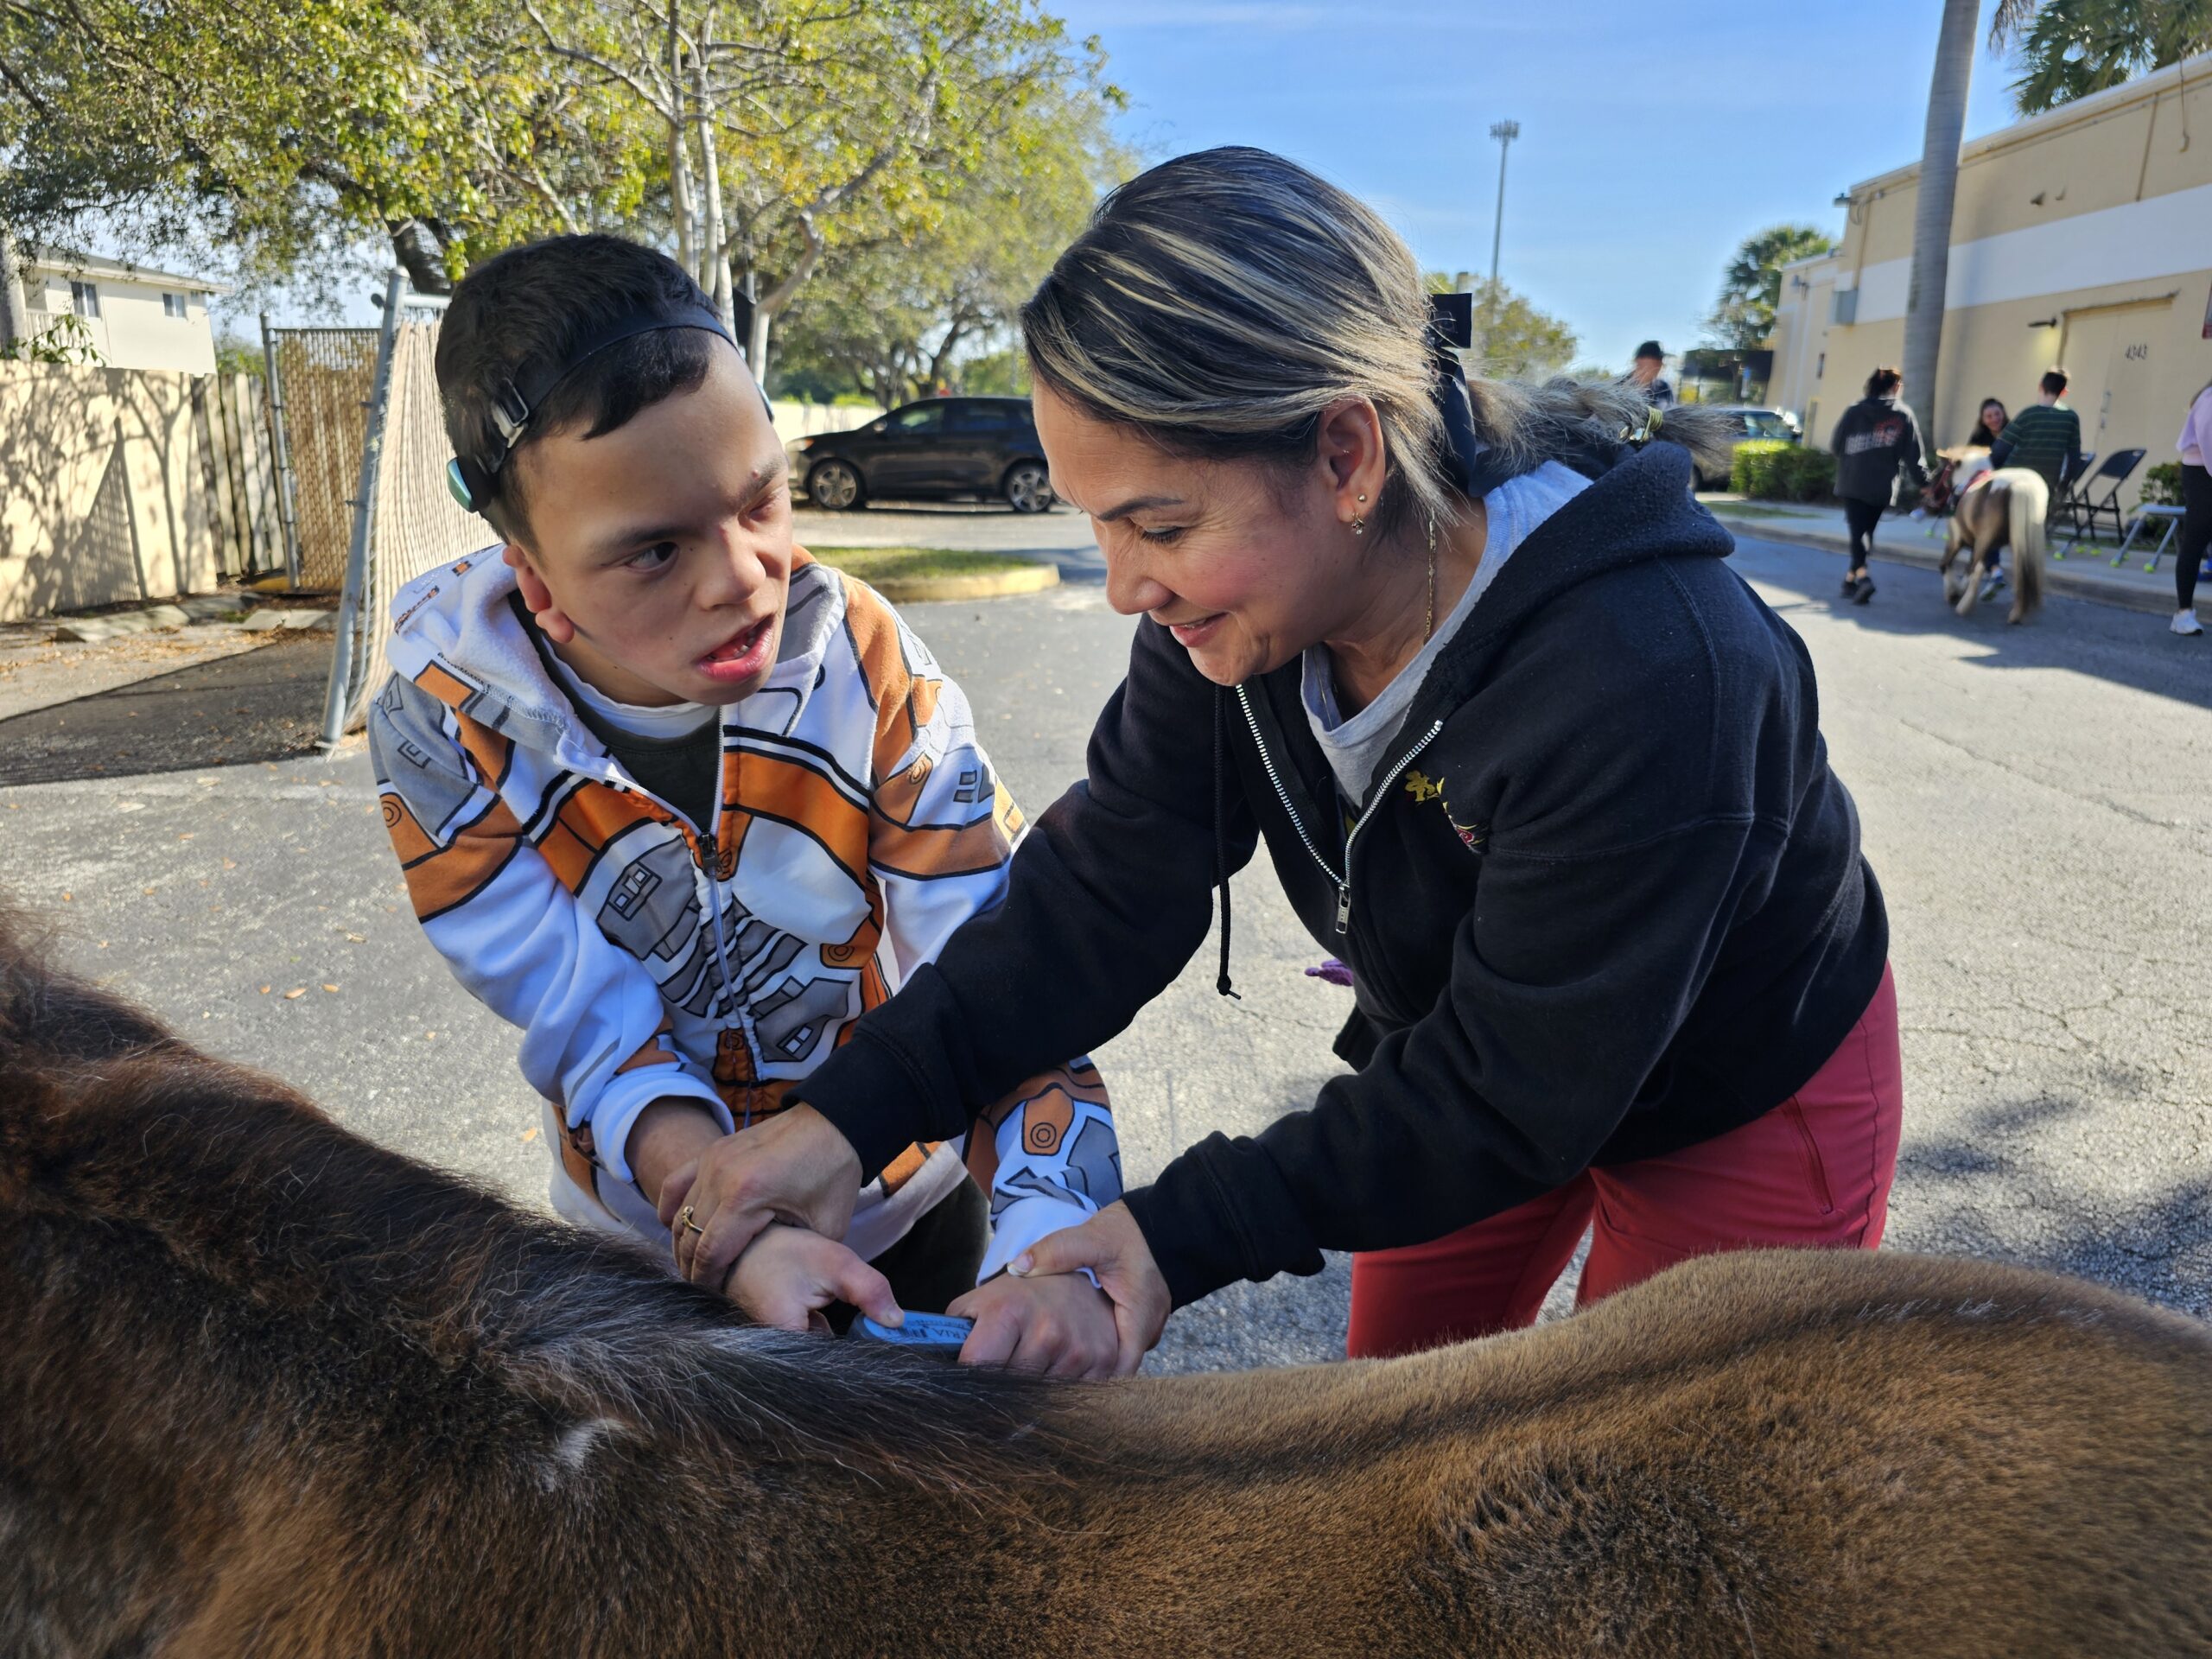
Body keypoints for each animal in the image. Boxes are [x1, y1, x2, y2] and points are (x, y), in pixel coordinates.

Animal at [1946, 471, 2044, 628]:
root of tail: (2022, 486)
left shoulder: (1959, 540)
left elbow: (1955, 565)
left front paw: (1955, 593)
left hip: (1986, 538)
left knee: (1977, 567)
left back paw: (1964, 605)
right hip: (2020, 539)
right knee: (2021, 571)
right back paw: (2016, 613)